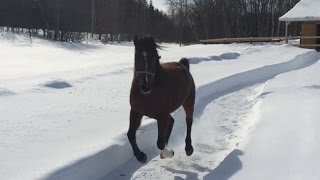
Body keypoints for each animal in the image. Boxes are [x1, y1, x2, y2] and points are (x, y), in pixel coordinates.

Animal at [127, 35, 195, 163]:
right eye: (136, 58)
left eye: (154, 58)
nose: (145, 87)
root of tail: (183, 65)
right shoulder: (136, 112)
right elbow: (130, 135)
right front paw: (140, 156)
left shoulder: (162, 116)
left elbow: (160, 143)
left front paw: (168, 153)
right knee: (172, 122)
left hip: (188, 102)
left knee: (188, 122)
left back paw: (188, 148)